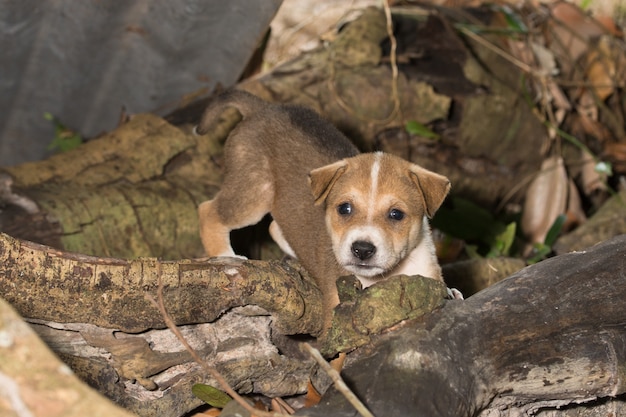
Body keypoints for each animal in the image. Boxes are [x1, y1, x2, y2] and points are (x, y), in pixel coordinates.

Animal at [195, 90, 448, 328]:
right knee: (208, 211)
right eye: (344, 208)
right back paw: (226, 256)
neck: (386, 276)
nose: (362, 250)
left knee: (276, 227)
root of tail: (263, 107)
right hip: (253, 193)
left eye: (396, 214)